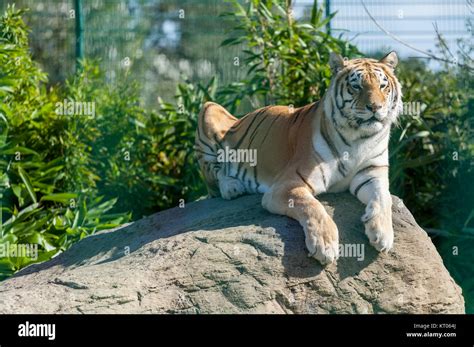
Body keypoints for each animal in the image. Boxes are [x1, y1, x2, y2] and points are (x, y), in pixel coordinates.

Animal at [194, 51, 402, 266]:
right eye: (356, 86)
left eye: (382, 86)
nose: (375, 107)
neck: (359, 139)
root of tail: (239, 118)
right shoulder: (288, 184)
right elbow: (312, 206)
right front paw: (325, 244)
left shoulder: (372, 174)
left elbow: (384, 197)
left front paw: (383, 233)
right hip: (208, 109)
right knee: (215, 178)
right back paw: (232, 187)